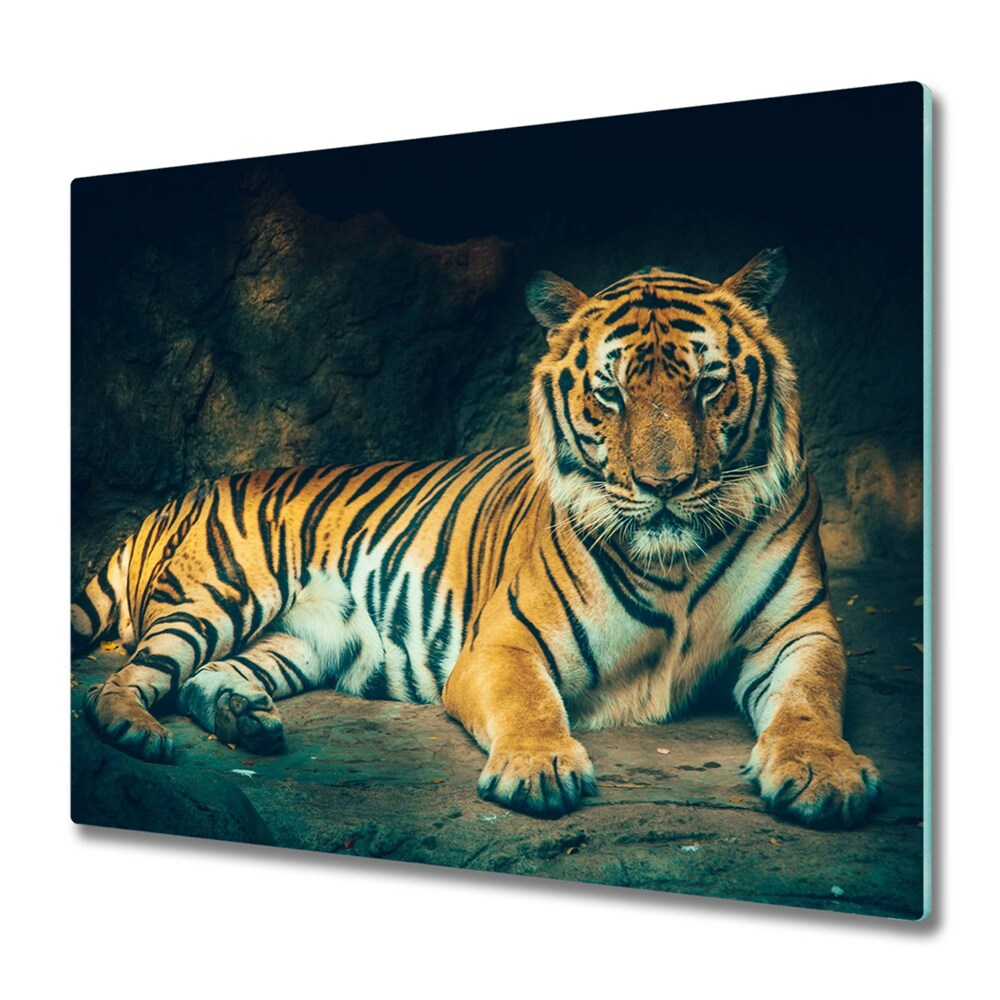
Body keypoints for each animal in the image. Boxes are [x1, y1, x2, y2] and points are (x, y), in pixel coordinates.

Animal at [73, 248, 881, 828]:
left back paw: (246, 721)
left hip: (299, 639)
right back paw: (141, 733)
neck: (675, 561)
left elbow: (810, 700)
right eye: (611, 392)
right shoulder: (504, 642)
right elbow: (531, 702)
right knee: (123, 680)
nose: (665, 486)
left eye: (709, 385)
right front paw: (539, 768)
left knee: (207, 678)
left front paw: (826, 773)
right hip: (218, 596)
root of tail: (184, 495)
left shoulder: (800, 631)